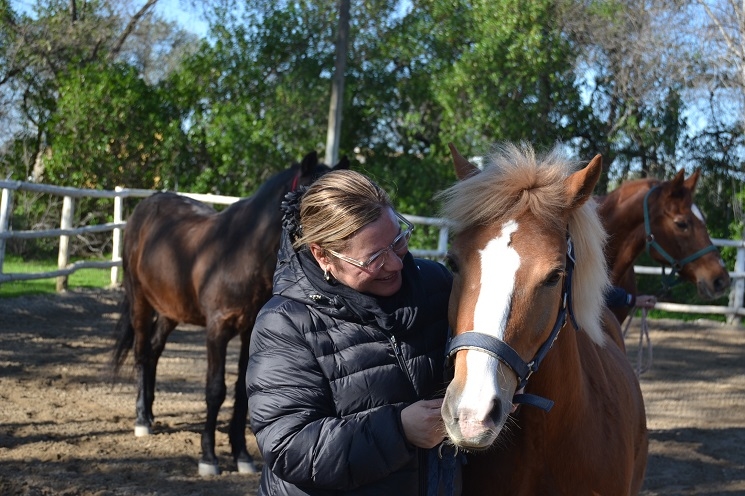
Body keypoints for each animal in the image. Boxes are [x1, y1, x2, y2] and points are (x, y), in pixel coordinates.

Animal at [111, 152, 348, 476]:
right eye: (307, 202)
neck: (242, 253)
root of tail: (147, 204)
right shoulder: (218, 330)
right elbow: (215, 390)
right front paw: (208, 457)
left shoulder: (249, 332)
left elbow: (241, 394)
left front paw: (242, 456)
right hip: (140, 302)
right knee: (140, 353)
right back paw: (141, 420)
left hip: (171, 310)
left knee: (154, 352)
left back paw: (149, 412)